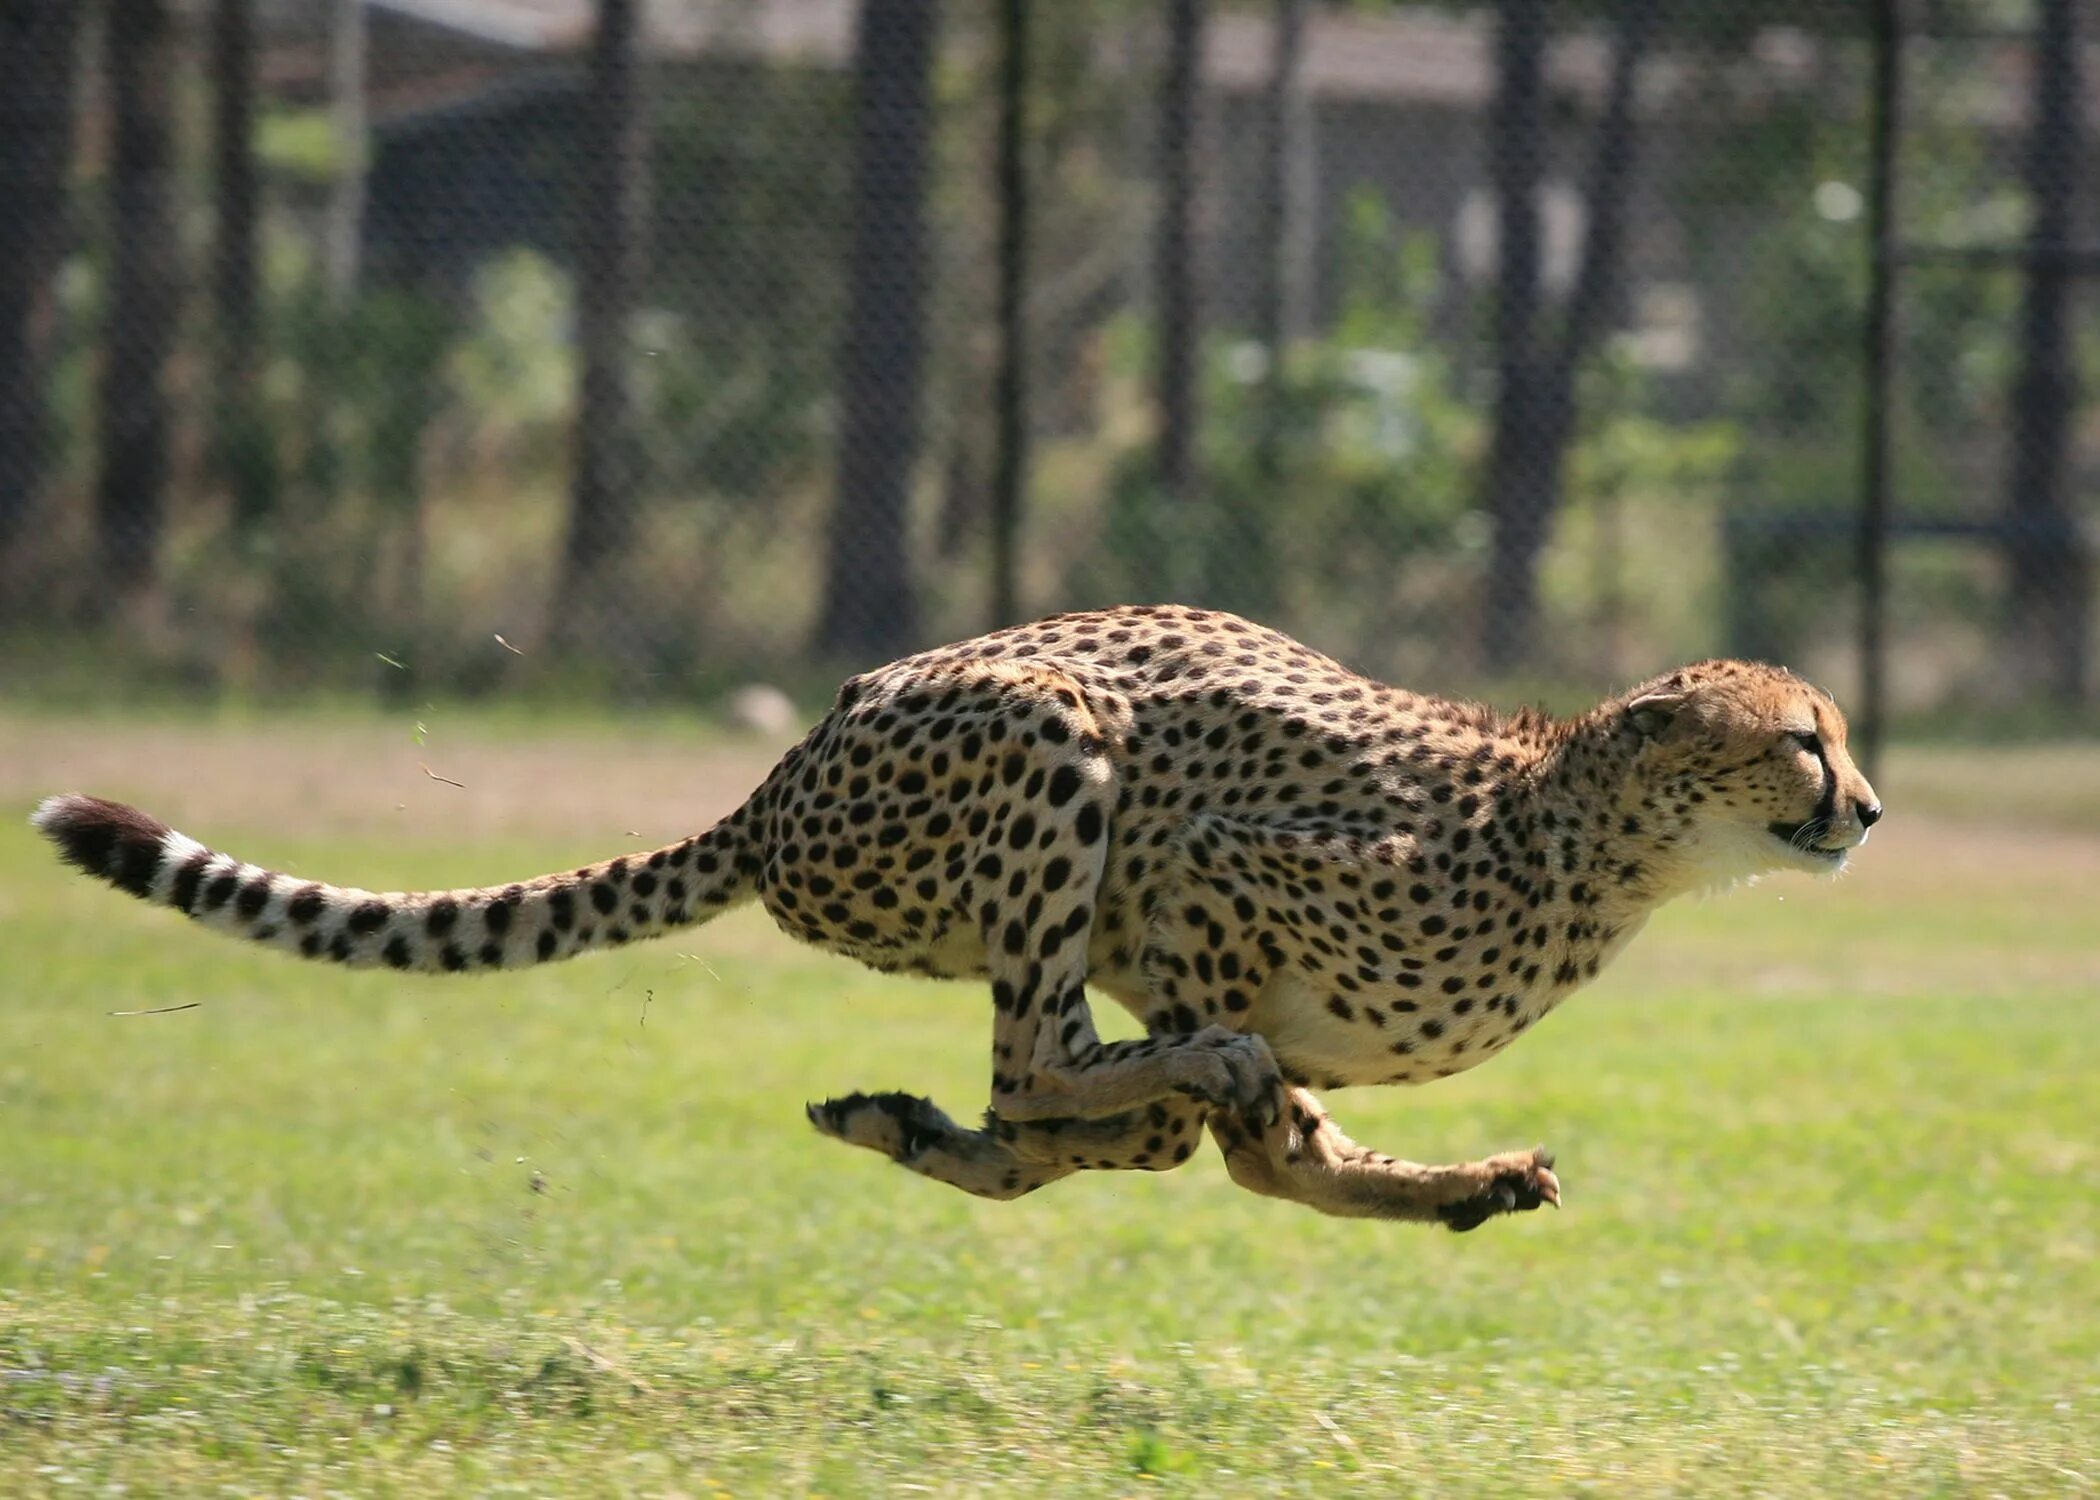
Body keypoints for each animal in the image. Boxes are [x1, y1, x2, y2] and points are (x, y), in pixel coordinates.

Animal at [32, 605, 1881, 1226]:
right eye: (1805, 738)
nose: (1866, 808)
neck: (1593, 832)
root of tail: (786, 772)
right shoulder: (1201, 870)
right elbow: (1235, 1112)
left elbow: (1280, 1148)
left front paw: (1467, 1182)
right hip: (1052, 741)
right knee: (1045, 1062)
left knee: (1045, 1097)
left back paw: (910, 1125)